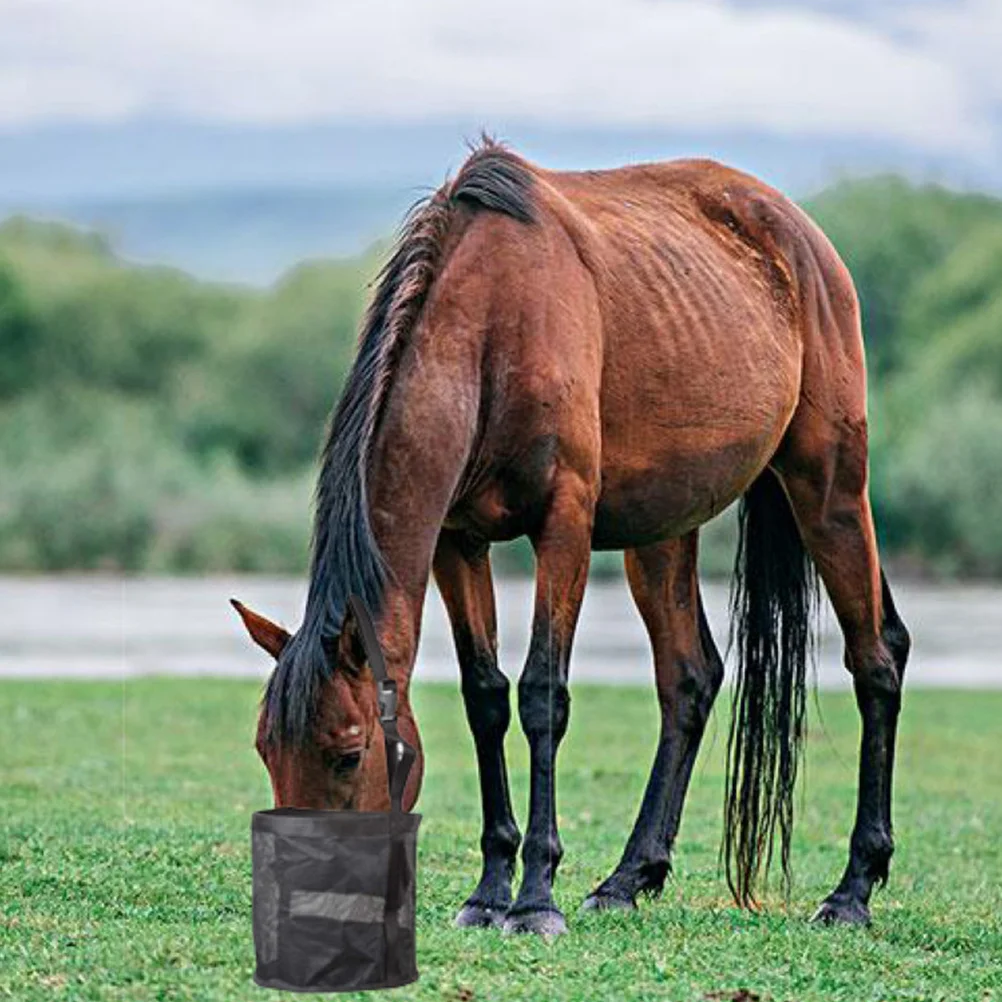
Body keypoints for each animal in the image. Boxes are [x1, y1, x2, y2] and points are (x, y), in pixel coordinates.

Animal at [233, 139, 910, 936]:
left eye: (347, 754)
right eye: (266, 751)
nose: (312, 904)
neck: (494, 328)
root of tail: (802, 238)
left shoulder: (564, 527)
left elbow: (541, 697)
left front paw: (534, 898)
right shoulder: (457, 542)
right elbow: (487, 698)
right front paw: (489, 890)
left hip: (829, 490)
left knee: (877, 660)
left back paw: (853, 889)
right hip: (663, 532)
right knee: (689, 679)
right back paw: (627, 878)